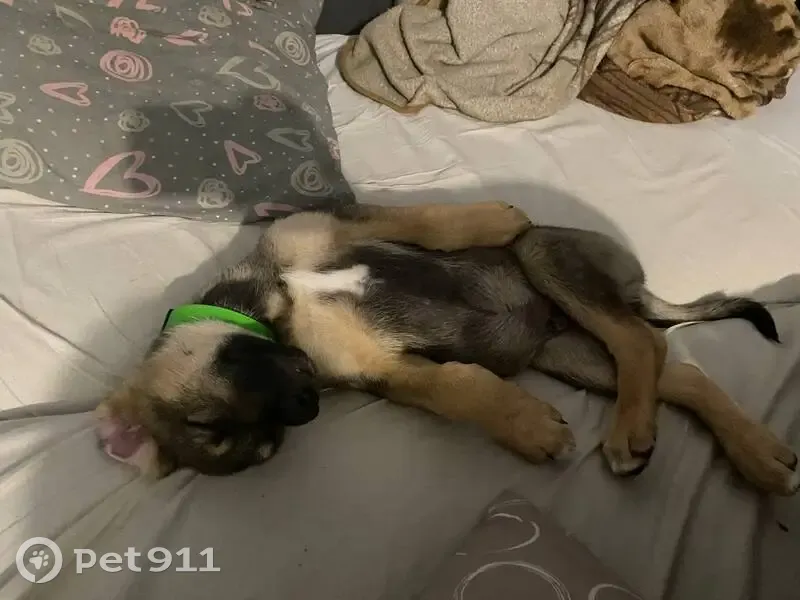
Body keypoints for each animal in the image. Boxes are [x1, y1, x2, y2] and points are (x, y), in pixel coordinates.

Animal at [95, 201, 799, 495]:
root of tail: (637, 285)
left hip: (547, 258)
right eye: (264, 446)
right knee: (666, 365)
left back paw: (635, 433)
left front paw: (491, 215)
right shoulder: (386, 371)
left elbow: (424, 219)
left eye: (202, 421)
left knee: (639, 339)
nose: (309, 406)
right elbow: (457, 389)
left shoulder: (332, 227)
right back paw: (751, 455)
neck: (279, 307)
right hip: (569, 354)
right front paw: (525, 425)